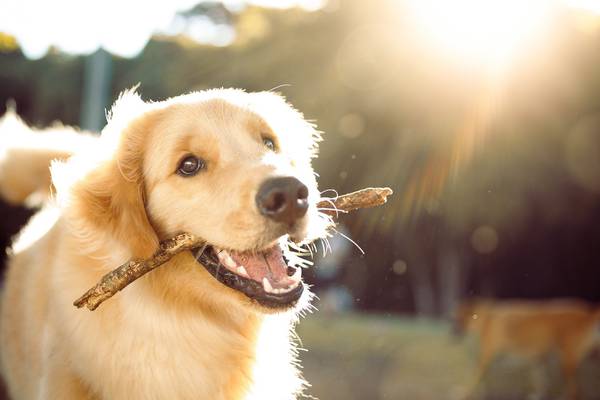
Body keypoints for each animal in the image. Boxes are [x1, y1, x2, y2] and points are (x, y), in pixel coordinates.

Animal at [454, 298, 600, 398]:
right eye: (457, 318)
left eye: (467, 318)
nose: (456, 331)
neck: (486, 321)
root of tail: (586, 314)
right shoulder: (537, 360)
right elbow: (541, 382)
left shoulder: (485, 360)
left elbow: (474, 378)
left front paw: (465, 393)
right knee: (575, 390)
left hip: (566, 361)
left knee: (574, 392)